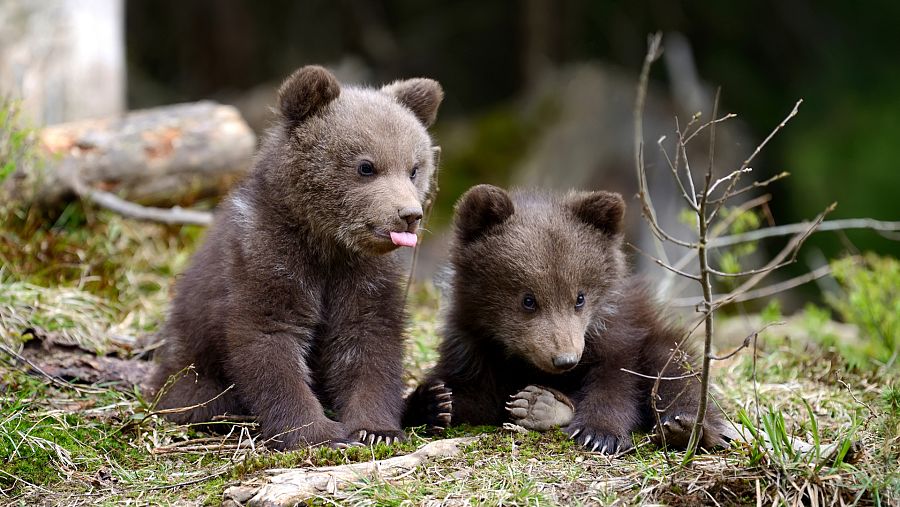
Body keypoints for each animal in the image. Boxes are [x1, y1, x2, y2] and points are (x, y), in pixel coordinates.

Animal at [148, 65, 443, 450]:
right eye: (366, 166)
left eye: (414, 168)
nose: (409, 214)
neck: (325, 241)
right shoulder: (266, 258)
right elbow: (271, 342)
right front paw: (317, 433)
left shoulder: (364, 275)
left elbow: (368, 343)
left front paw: (376, 429)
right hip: (191, 362)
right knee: (198, 396)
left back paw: (437, 402)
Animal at [403, 184, 736, 454]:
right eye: (528, 299)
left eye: (580, 297)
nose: (565, 359)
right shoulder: (473, 345)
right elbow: (472, 394)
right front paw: (433, 402)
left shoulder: (615, 333)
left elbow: (616, 380)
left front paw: (599, 434)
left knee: (674, 368)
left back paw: (684, 427)